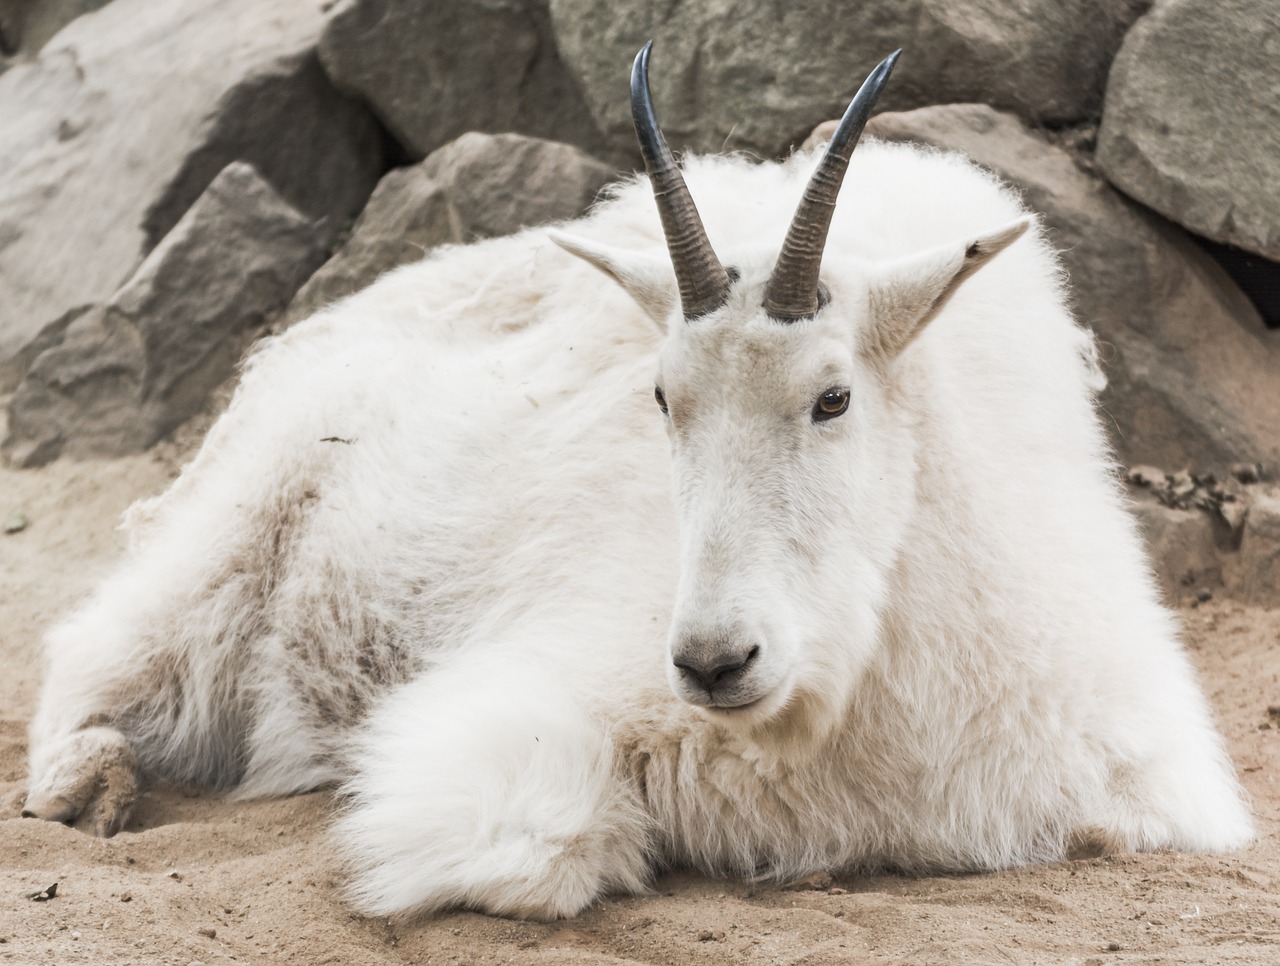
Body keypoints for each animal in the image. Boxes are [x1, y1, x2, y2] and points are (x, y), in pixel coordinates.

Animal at [24, 47, 1254, 921]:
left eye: (833, 397)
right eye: (660, 398)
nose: (714, 662)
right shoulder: (529, 708)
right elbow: (535, 844)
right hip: (225, 553)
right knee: (90, 656)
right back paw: (90, 787)